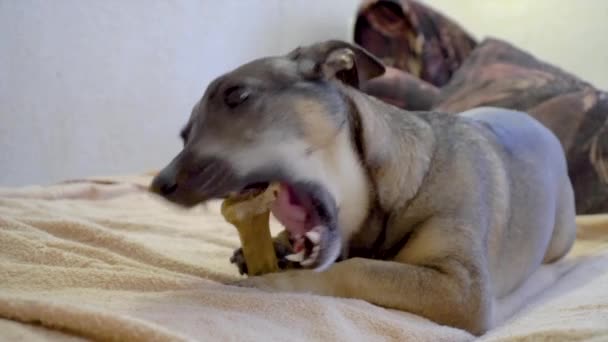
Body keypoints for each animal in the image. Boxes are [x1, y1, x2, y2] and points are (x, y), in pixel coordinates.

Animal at [150, 40, 576, 334]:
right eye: (184, 134)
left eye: (237, 95)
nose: (159, 184)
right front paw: (275, 246)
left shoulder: (463, 290)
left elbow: (354, 270)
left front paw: (277, 281)